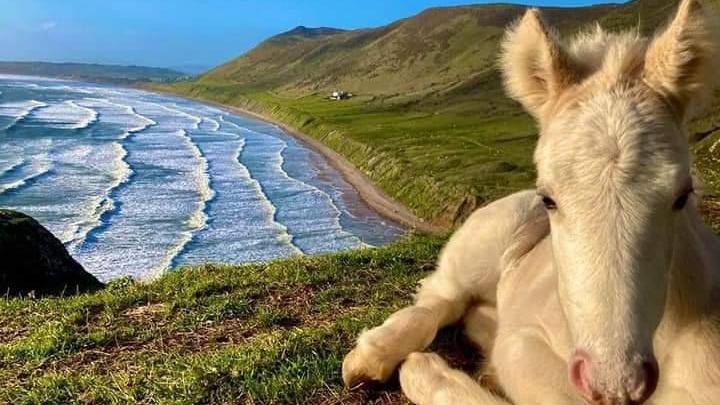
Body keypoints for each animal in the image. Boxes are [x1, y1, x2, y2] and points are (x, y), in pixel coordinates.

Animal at [342, 1, 720, 404]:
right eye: (548, 199)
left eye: (682, 196)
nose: (615, 382)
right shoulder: (524, 341)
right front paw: (424, 370)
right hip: (484, 242)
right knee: (440, 298)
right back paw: (372, 359)